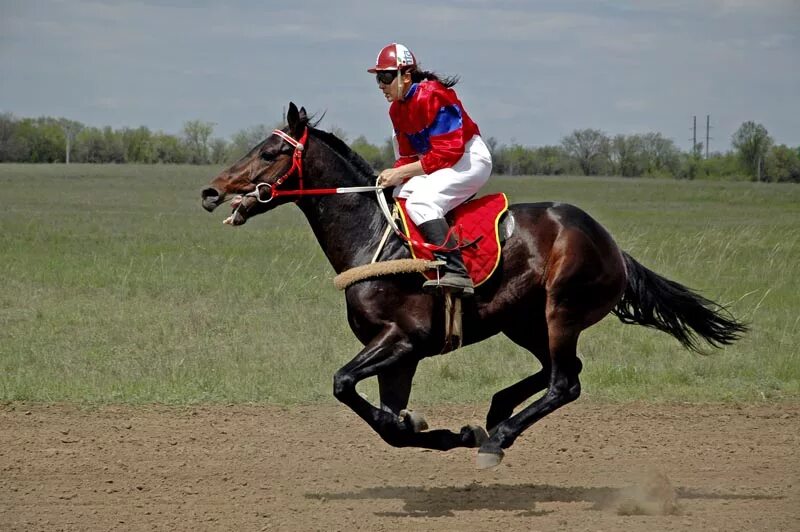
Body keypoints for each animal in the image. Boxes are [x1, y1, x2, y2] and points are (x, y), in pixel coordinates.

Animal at [200, 102, 744, 468]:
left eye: (270, 152)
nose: (211, 190)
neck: (375, 238)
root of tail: (611, 244)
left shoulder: (403, 340)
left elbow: (344, 385)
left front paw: (455, 434)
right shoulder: (401, 355)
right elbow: (388, 423)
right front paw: (438, 430)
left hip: (561, 310)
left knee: (565, 382)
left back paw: (498, 437)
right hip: (524, 321)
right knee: (561, 371)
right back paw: (497, 411)